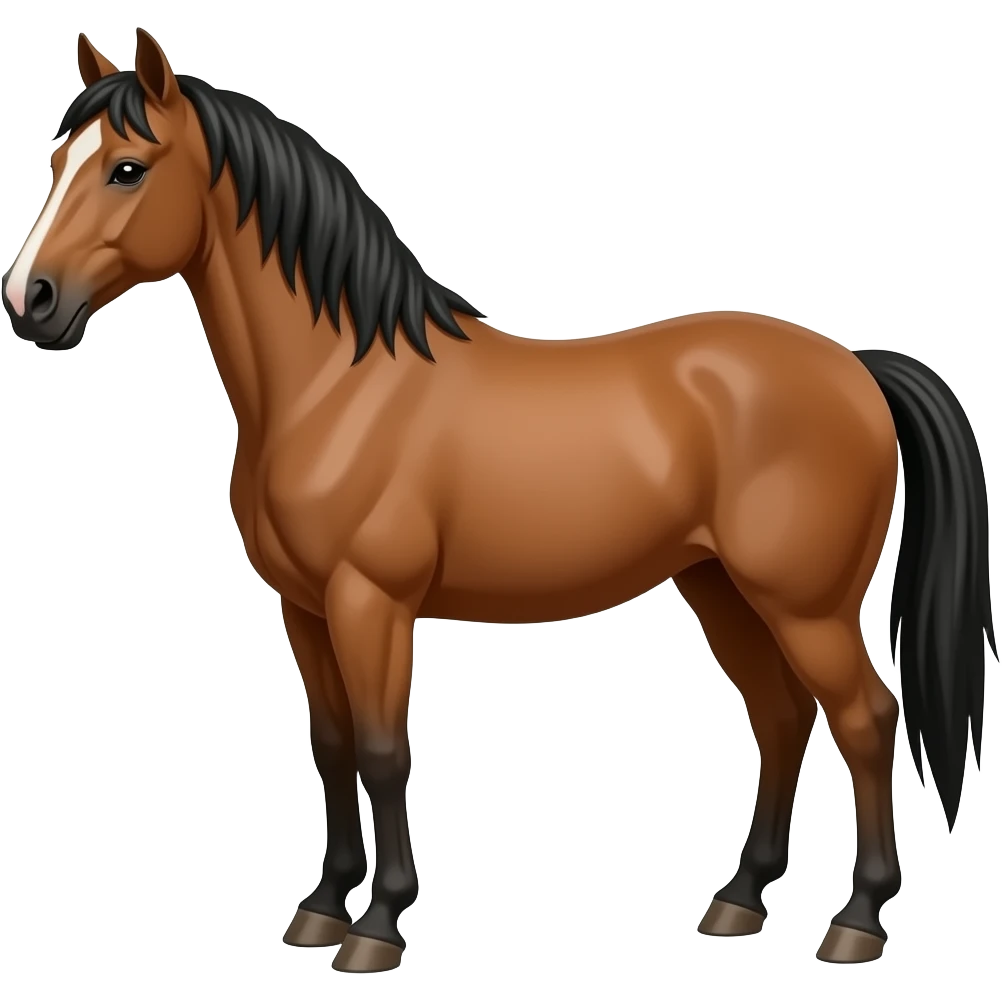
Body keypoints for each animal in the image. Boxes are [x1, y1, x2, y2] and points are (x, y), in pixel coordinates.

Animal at [2, 28, 995, 973]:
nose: (30, 300)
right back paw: (739, 901)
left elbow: (382, 752)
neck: (337, 385)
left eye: (128, 168)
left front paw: (379, 928)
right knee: (782, 719)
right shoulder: (305, 608)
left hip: (805, 605)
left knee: (865, 720)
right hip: (720, 588)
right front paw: (321, 910)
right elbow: (330, 748)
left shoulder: (371, 603)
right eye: (57, 161)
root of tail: (854, 366)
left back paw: (857, 922)